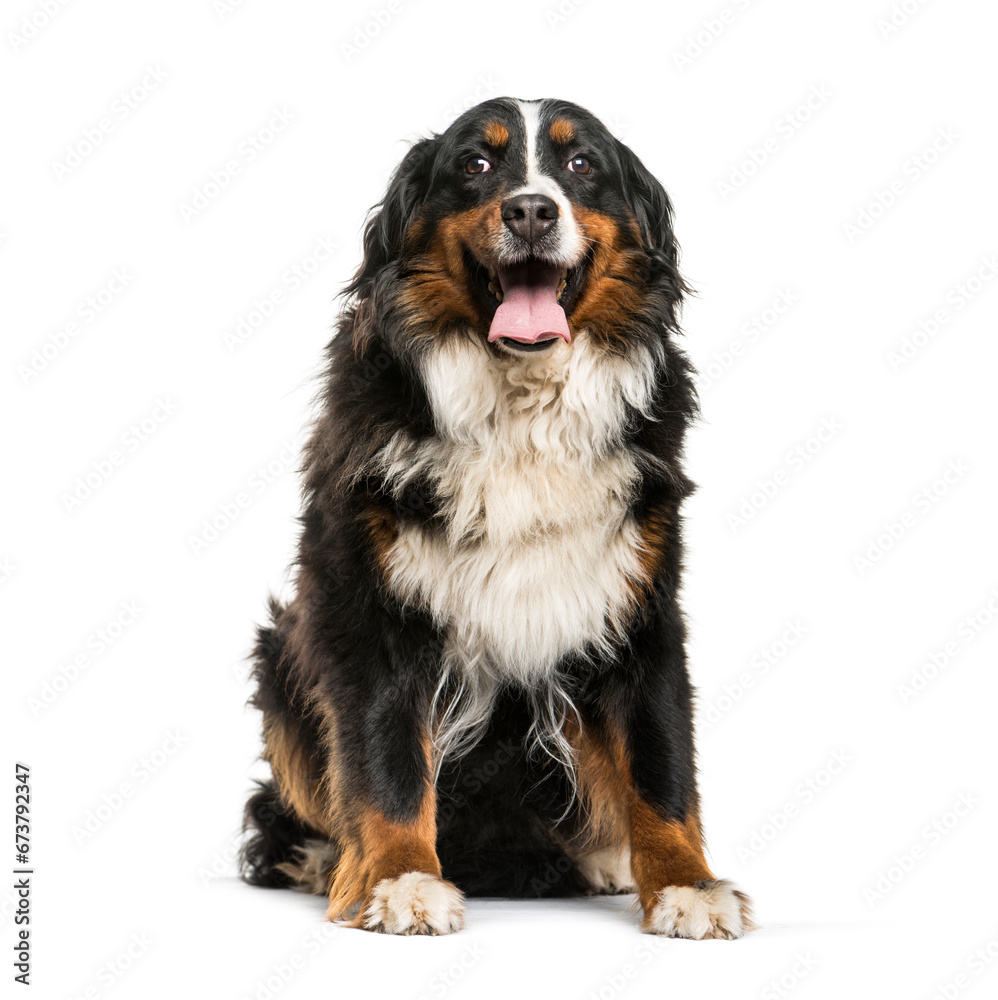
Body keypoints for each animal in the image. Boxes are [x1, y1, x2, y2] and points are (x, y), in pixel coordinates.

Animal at [242, 94, 752, 936]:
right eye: (475, 163)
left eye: (581, 164)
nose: (533, 210)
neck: (523, 406)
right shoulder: (367, 609)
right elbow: (386, 763)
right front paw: (398, 880)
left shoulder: (640, 605)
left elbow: (660, 764)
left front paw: (687, 884)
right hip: (282, 647)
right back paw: (323, 860)